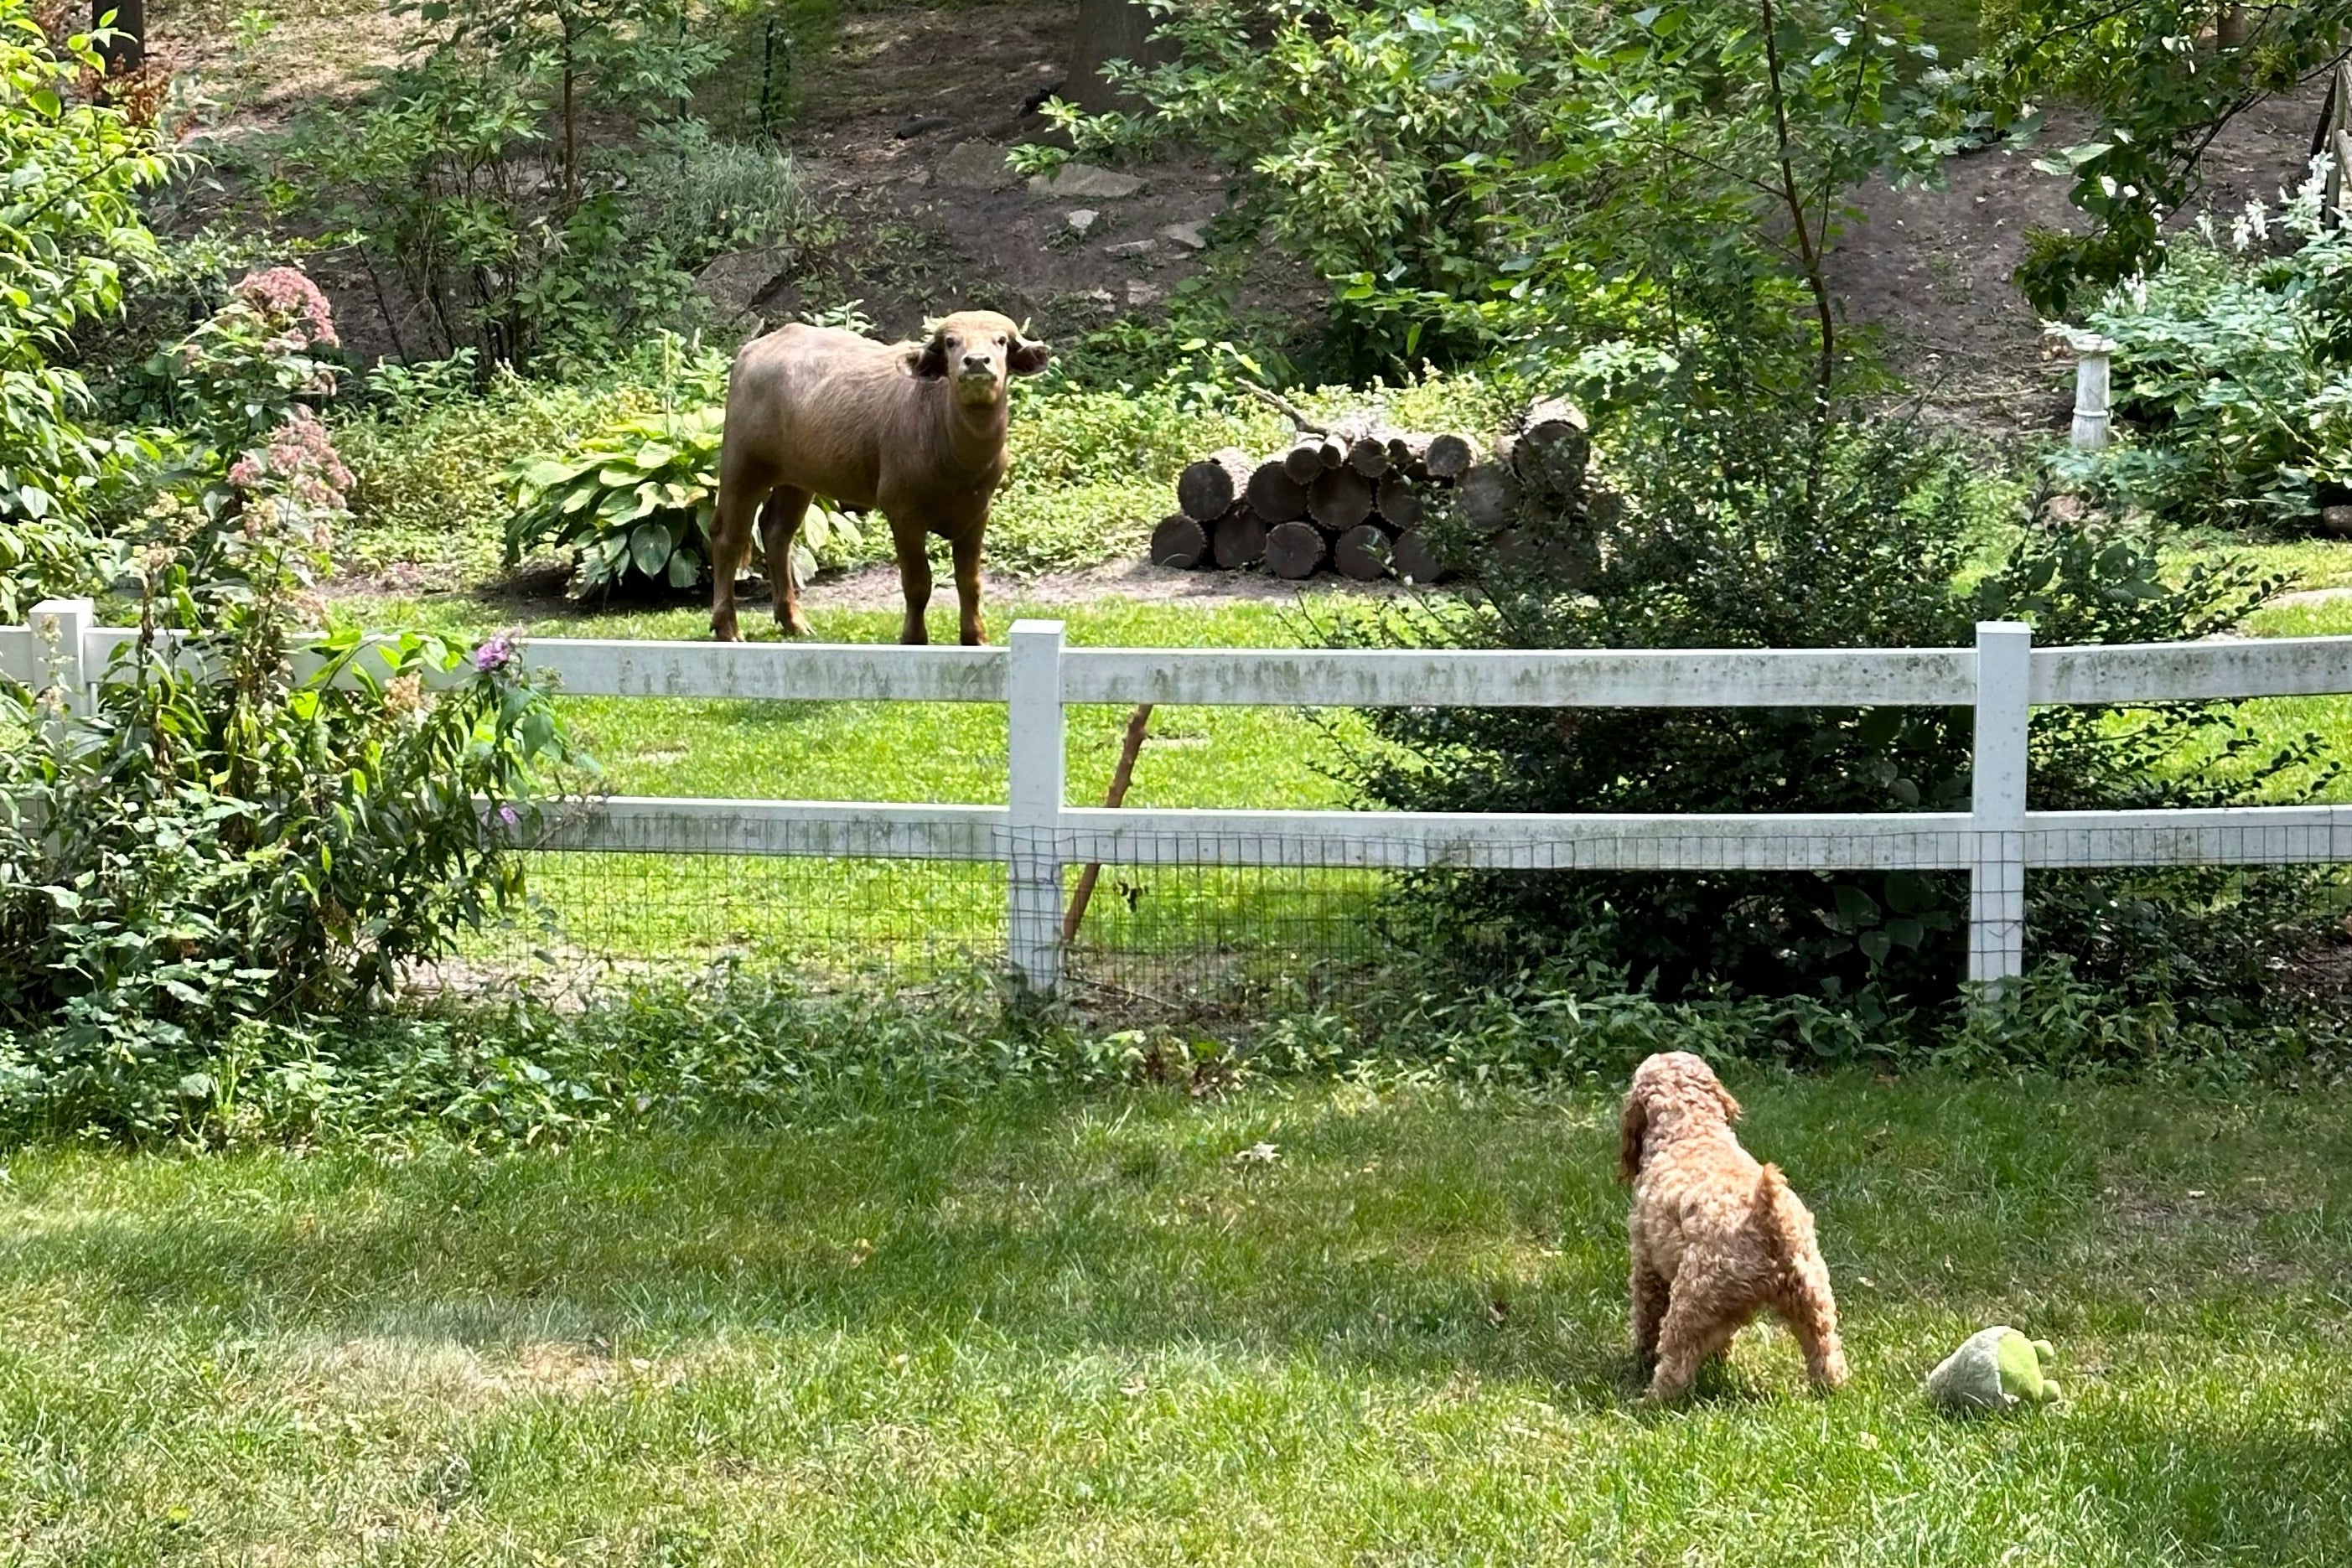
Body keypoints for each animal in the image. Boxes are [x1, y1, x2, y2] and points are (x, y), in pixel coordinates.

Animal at [701, 310, 1054, 639]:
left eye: (1001, 341)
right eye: (951, 343)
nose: (977, 362)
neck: (956, 454)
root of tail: (752, 351)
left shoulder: (977, 513)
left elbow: (970, 583)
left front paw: (975, 638)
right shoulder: (903, 512)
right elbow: (917, 583)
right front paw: (914, 638)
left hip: (797, 479)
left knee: (776, 533)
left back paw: (793, 621)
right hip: (742, 465)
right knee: (727, 536)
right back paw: (727, 626)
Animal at [1618, 1053, 1853, 1400]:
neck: (1691, 1130)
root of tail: (1767, 1213)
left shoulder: (1647, 1266)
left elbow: (1646, 1318)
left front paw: (1641, 1360)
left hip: (1690, 1300)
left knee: (1676, 1365)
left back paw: (1650, 1399)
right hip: (1813, 1297)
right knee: (1826, 1353)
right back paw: (1828, 1389)